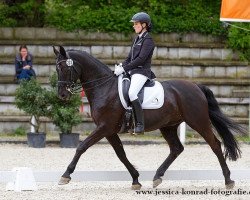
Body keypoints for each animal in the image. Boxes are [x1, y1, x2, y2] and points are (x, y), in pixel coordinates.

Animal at [52, 45, 244, 191]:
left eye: (64, 68)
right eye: (56, 68)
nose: (62, 95)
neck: (104, 87)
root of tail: (196, 86)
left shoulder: (105, 127)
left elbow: (81, 147)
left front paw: (65, 175)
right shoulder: (109, 130)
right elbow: (121, 154)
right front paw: (136, 180)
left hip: (198, 122)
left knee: (215, 145)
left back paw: (228, 180)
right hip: (168, 126)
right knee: (176, 148)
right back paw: (157, 176)